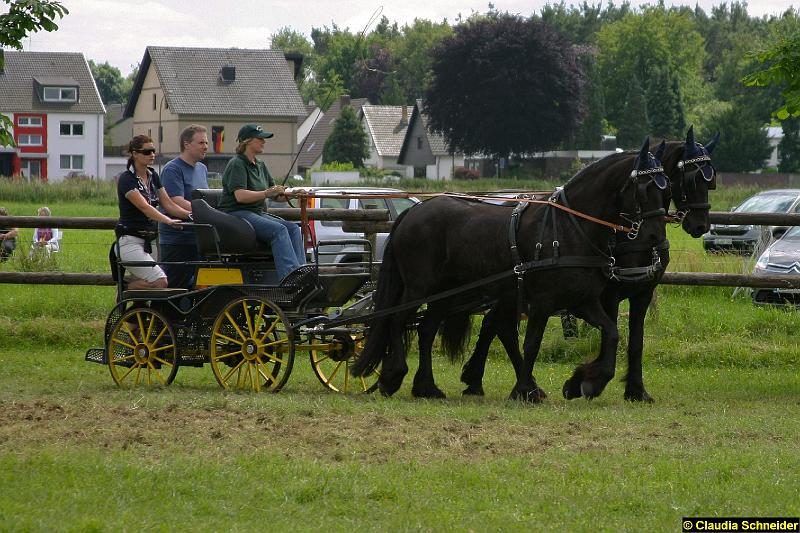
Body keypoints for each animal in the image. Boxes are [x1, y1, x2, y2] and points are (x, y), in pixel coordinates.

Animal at [354, 137, 672, 400]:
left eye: (666, 187)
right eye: (644, 188)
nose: (655, 238)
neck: (570, 229)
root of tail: (413, 210)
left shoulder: (582, 301)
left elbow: (612, 333)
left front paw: (586, 382)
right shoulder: (543, 302)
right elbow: (531, 343)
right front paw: (524, 390)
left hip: (446, 293)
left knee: (427, 329)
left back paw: (427, 387)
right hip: (420, 287)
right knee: (397, 320)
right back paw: (393, 377)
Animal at [460, 125, 720, 400]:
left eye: (711, 180)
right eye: (691, 178)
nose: (700, 225)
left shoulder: (642, 292)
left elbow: (635, 341)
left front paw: (636, 390)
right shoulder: (609, 293)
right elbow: (611, 334)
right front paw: (588, 380)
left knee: (495, 323)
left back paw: (481, 380)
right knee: (500, 325)